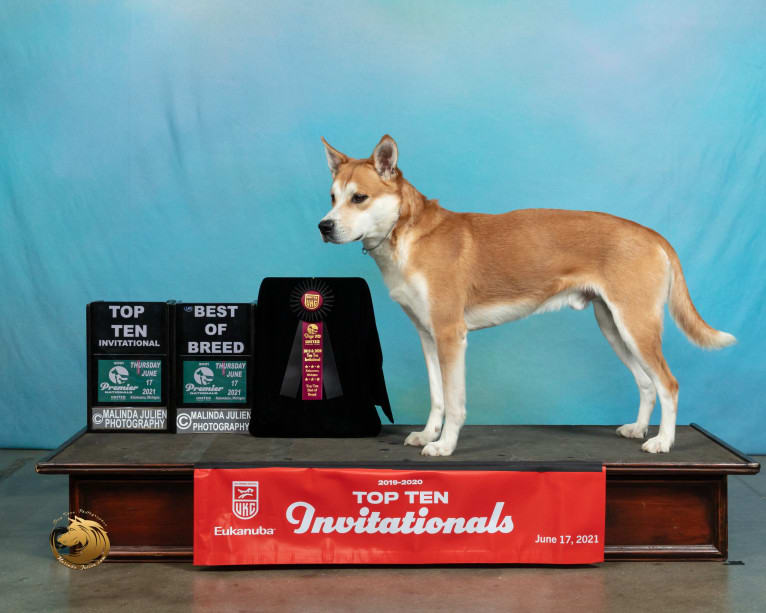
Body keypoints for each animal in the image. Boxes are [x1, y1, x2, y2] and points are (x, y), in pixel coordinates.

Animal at [318, 136, 736, 456]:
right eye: (332, 196)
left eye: (359, 198)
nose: (324, 226)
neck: (405, 235)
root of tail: (651, 234)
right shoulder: (427, 335)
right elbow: (437, 397)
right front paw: (427, 434)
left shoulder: (451, 335)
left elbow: (454, 402)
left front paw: (445, 446)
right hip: (614, 325)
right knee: (647, 383)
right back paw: (637, 429)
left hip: (637, 325)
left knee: (668, 384)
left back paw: (662, 442)